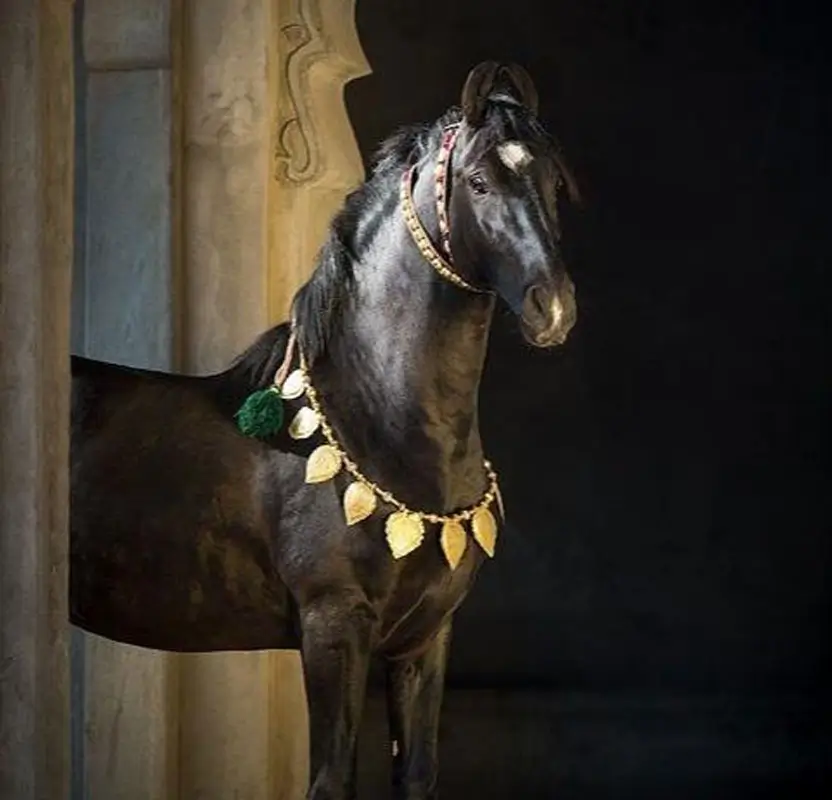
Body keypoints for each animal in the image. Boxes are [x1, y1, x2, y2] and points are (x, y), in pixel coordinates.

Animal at [69, 61, 579, 800]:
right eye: (480, 181)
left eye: (552, 182)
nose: (554, 309)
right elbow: (329, 781)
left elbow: (416, 774)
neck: (379, 423)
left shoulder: (425, 638)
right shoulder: (333, 626)